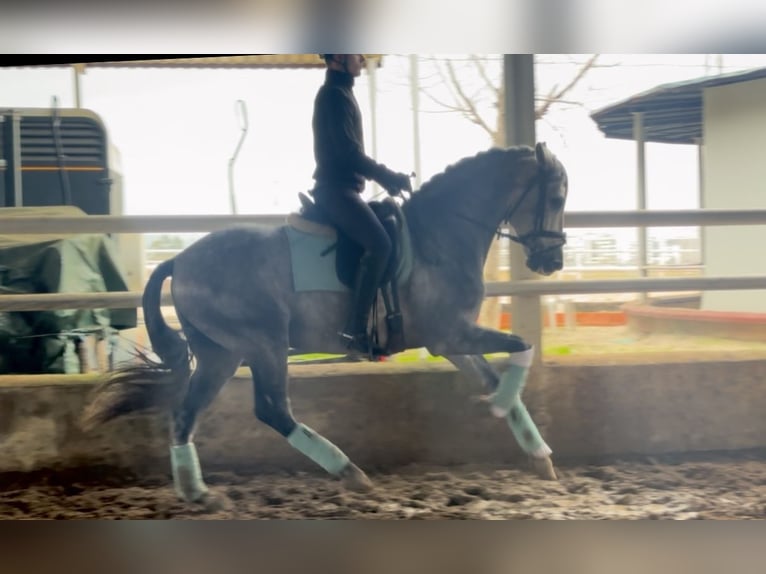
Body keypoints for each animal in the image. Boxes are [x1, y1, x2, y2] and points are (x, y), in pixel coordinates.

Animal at [81, 142, 569, 503]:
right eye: (557, 197)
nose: (552, 262)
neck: (440, 236)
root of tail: (180, 260)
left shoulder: (451, 342)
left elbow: (495, 374)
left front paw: (540, 456)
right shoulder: (451, 334)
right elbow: (522, 348)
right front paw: (502, 407)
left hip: (221, 353)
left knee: (186, 412)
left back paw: (197, 492)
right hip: (263, 344)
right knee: (272, 410)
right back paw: (349, 471)